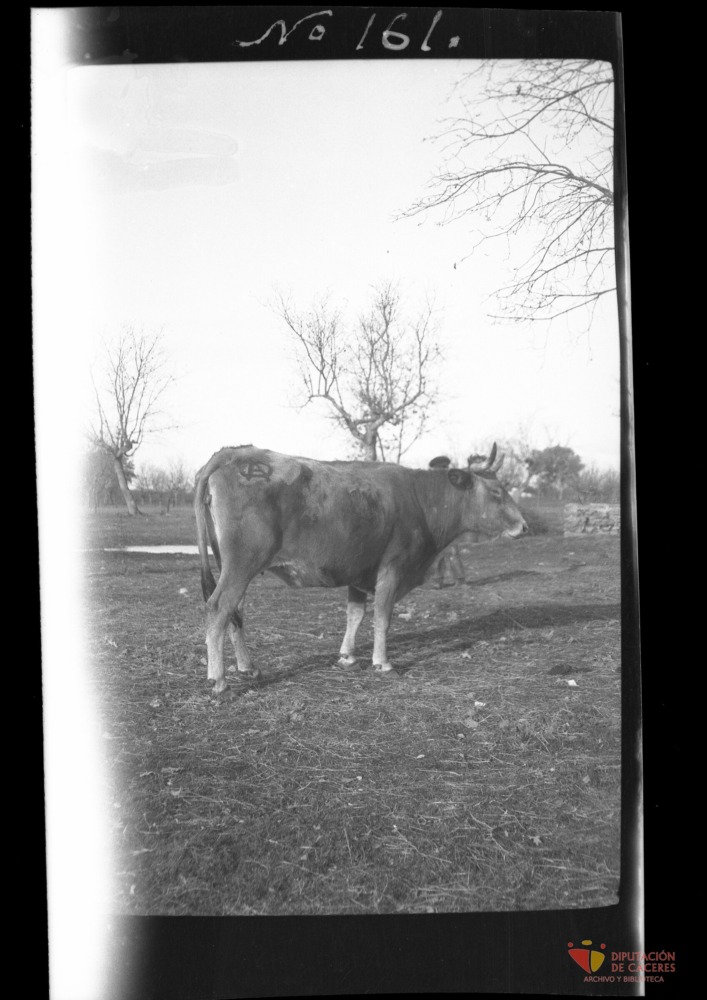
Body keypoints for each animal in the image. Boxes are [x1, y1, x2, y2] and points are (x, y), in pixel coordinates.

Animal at [194, 443, 527, 692]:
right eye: (496, 493)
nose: (524, 526)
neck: (419, 500)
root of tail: (232, 453)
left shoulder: (359, 569)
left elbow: (355, 614)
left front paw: (348, 656)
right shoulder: (392, 567)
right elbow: (382, 616)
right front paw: (382, 662)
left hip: (234, 566)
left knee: (235, 614)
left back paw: (248, 667)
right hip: (242, 564)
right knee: (219, 609)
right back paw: (219, 681)